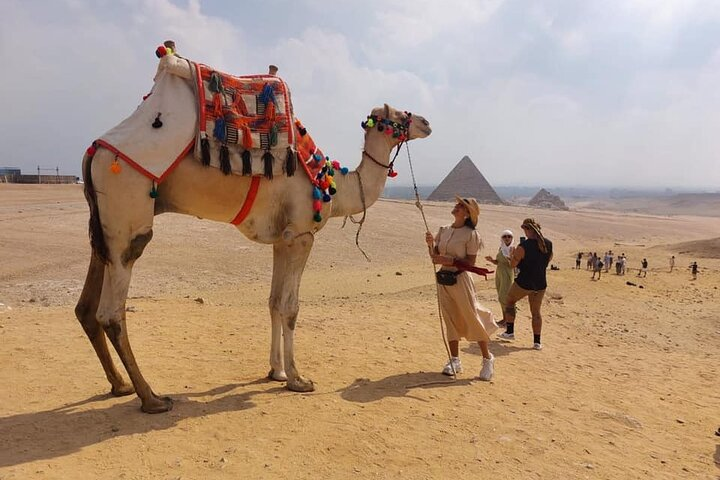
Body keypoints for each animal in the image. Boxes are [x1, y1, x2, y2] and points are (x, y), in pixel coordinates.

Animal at [75, 57, 432, 413]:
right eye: (399, 115)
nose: (427, 122)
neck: (330, 184)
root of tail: (94, 151)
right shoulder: (301, 235)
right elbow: (290, 307)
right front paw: (297, 379)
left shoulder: (281, 239)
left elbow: (273, 302)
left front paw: (276, 371)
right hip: (128, 212)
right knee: (111, 311)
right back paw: (151, 397)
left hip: (104, 228)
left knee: (87, 306)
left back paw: (120, 385)